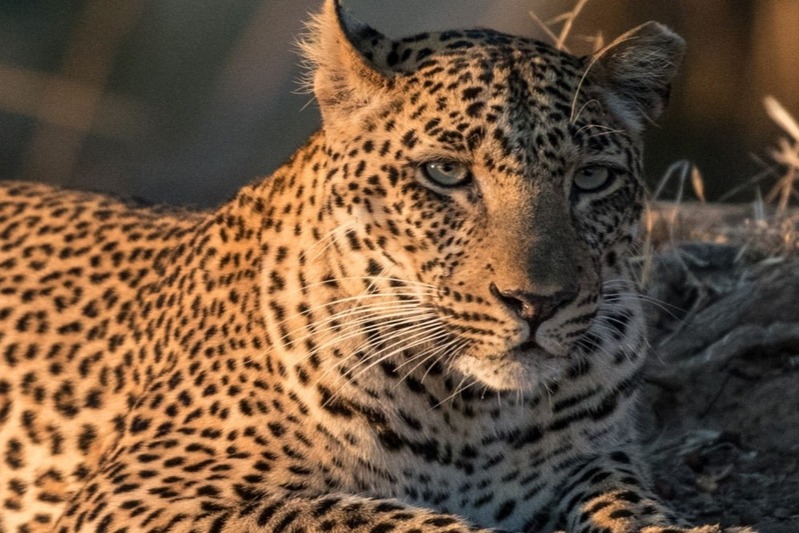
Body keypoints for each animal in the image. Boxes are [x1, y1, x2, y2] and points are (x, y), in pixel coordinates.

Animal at [0, 1, 755, 532]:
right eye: (446, 173)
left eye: (592, 178)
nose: (536, 303)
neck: (471, 417)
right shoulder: (150, 487)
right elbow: (373, 516)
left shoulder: (594, 461)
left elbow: (634, 508)